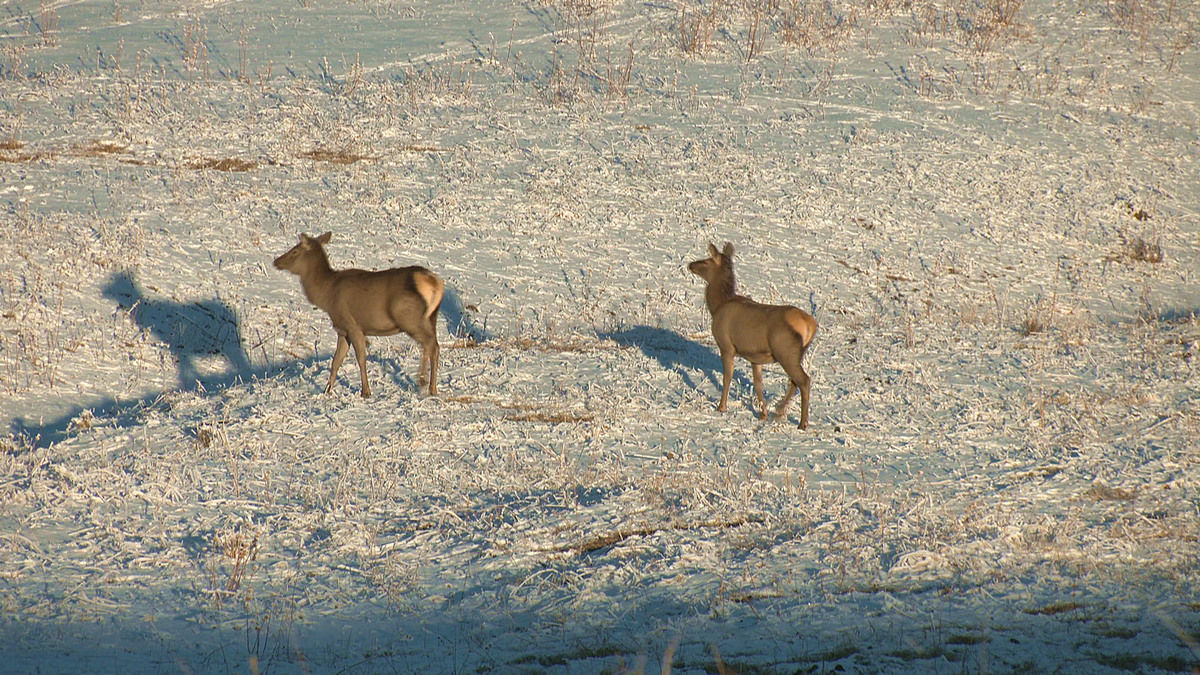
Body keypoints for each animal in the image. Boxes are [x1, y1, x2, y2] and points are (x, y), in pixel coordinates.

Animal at [273, 233, 446, 393]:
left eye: (295, 250)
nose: (276, 261)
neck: (327, 295)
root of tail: (434, 282)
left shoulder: (353, 325)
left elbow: (361, 358)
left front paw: (365, 391)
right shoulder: (342, 330)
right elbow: (336, 361)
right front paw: (327, 390)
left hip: (409, 317)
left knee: (430, 344)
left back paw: (423, 382)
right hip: (431, 318)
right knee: (433, 346)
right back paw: (431, 388)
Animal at [691, 241, 820, 427]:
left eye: (706, 261)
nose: (690, 264)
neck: (717, 305)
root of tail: (811, 325)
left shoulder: (726, 346)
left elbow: (727, 377)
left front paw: (721, 407)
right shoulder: (755, 357)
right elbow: (758, 384)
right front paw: (762, 414)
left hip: (786, 351)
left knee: (804, 380)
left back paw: (802, 423)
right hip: (797, 354)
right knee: (794, 381)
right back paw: (779, 412)